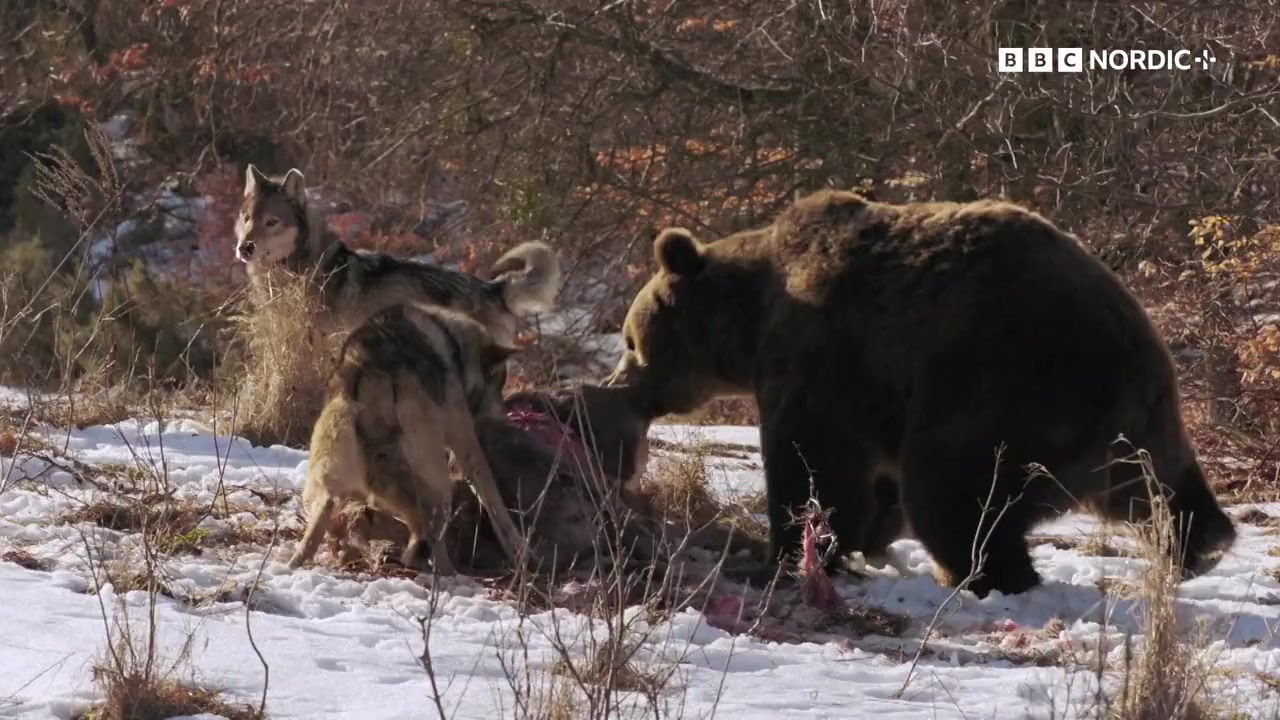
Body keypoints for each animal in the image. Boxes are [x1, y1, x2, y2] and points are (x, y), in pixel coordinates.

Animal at [287, 302, 530, 575]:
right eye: (498, 384)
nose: (505, 416)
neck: (454, 345)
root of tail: (367, 370)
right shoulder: (464, 441)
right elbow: (492, 499)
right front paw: (518, 550)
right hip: (434, 476)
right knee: (433, 530)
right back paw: (446, 572)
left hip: (343, 473)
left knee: (334, 508)